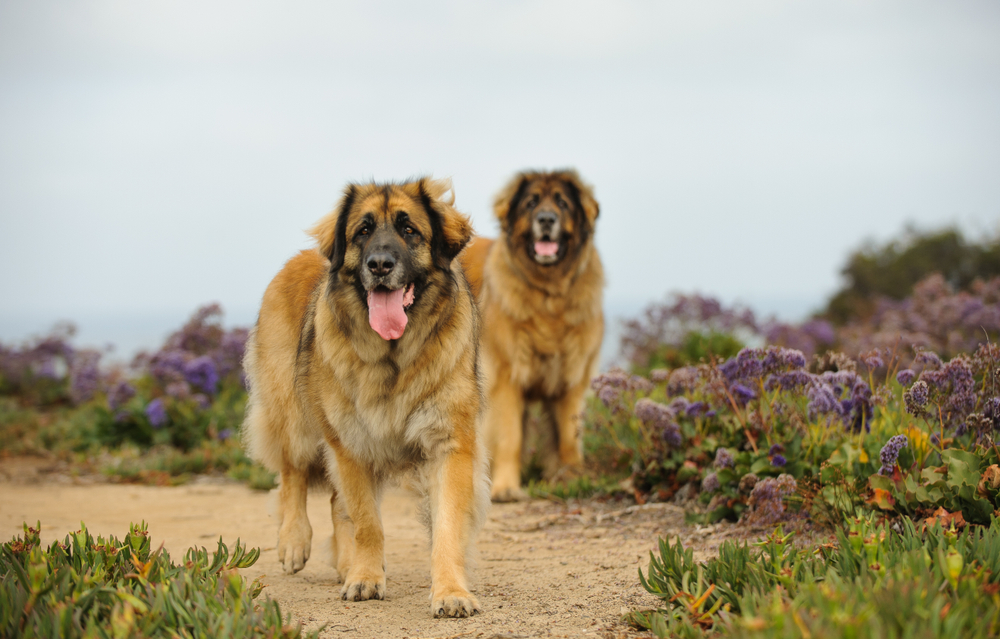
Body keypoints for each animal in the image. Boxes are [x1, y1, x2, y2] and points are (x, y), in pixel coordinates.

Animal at [244, 178, 490, 616]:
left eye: (409, 230)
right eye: (362, 231)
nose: (379, 265)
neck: (393, 357)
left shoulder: (449, 446)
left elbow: (446, 526)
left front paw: (450, 591)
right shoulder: (351, 443)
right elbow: (367, 522)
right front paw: (366, 578)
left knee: (334, 503)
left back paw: (344, 562)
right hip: (294, 418)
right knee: (293, 475)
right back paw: (295, 542)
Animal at [458, 171, 600, 504]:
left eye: (562, 202)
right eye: (531, 203)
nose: (546, 220)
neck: (548, 297)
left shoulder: (572, 378)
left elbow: (569, 438)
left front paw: (572, 479)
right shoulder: (506, 379)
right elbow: (510, 437)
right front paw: (506, 487)